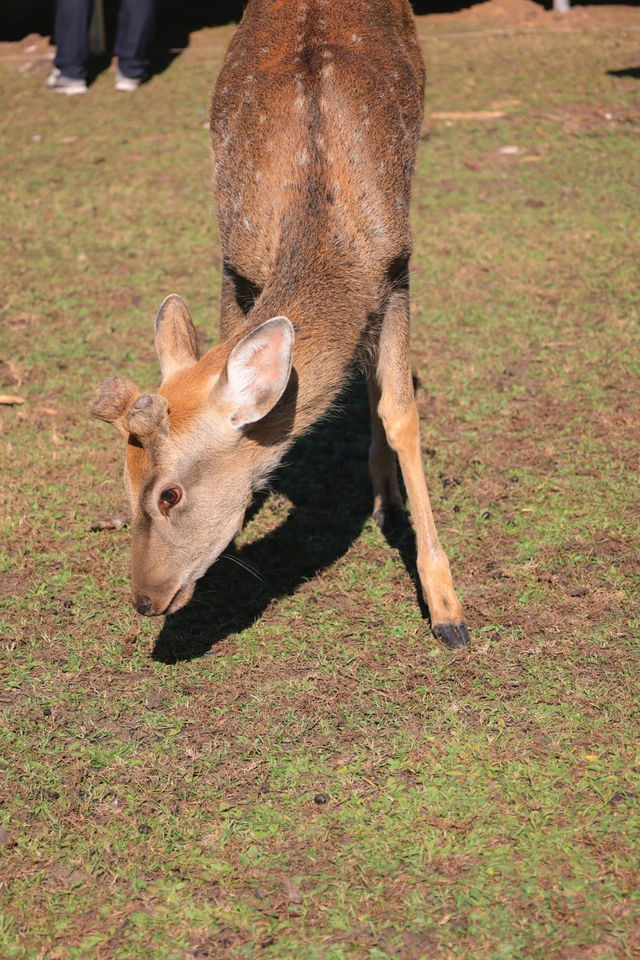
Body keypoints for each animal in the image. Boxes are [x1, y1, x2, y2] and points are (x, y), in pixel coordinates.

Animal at [91, 0, 470, 648]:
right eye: (124, 476)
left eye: (169, 495)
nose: (143, 600)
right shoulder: (235, 263)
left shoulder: (397, 268)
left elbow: (400, 414)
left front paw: (448, 610)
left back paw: (386, 501)